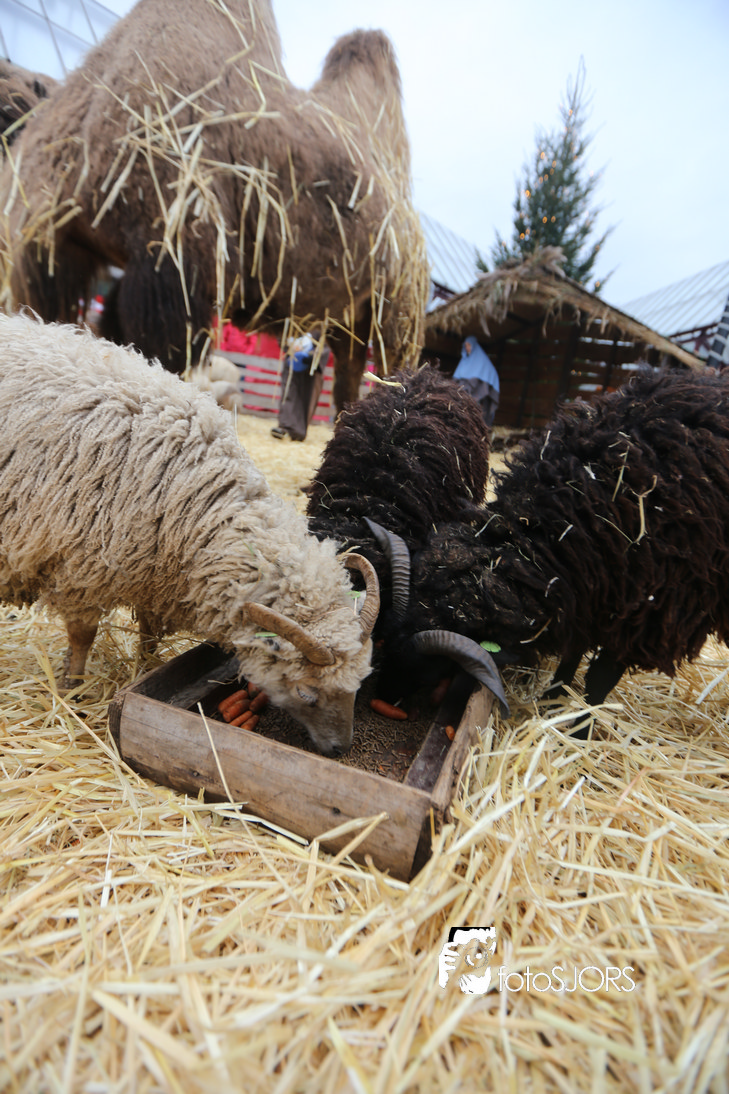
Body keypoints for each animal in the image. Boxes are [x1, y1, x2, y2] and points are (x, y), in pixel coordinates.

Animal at [0, 312, 379, 756]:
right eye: (307, 692)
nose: (341, 749)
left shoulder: (152, 578)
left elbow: (147, 634)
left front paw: (145, 669)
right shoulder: (82, 570)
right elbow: (82, 637)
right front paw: (72, 692)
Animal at [1, 0, 427, 411]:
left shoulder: (174, 257)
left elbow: (159, 356)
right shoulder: (54, 249)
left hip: (398, 311)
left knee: (388, 365)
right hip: (350, 316)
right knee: (351, 369)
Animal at [368, 366, 729, 732]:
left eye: (430, 668)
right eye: (386, 638)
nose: (382, 695)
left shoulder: (651, 615)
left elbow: (600, 678)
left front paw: (581, 730)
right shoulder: (590, 593)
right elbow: (572, 652)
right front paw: (553, 700)